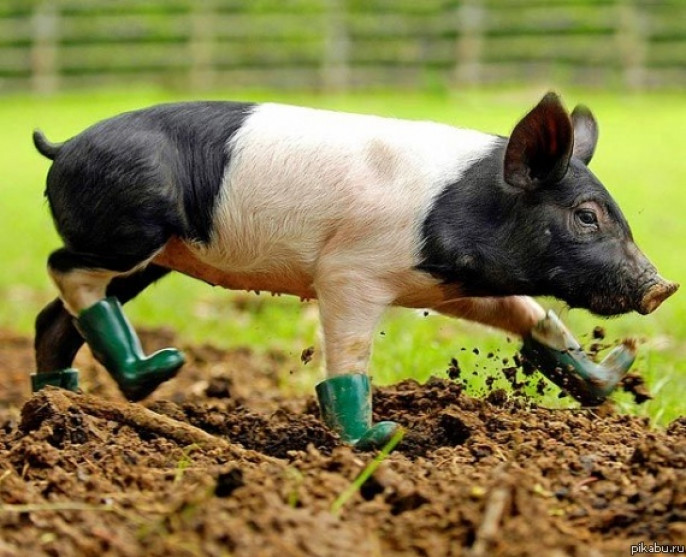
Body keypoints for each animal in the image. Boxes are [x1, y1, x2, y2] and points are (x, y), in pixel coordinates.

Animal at [32, 92, 677, 449]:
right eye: (587, 216)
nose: (662, 287)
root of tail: (63, 146)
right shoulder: (351, 274)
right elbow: (348, 361)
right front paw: (382, 438)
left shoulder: (449, 285)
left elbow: (530, 314)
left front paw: (615, 371)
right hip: (129, 229)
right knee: (63, 268)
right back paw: (157, 371)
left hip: (153, 256)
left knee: (53, 317)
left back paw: (69, 401)